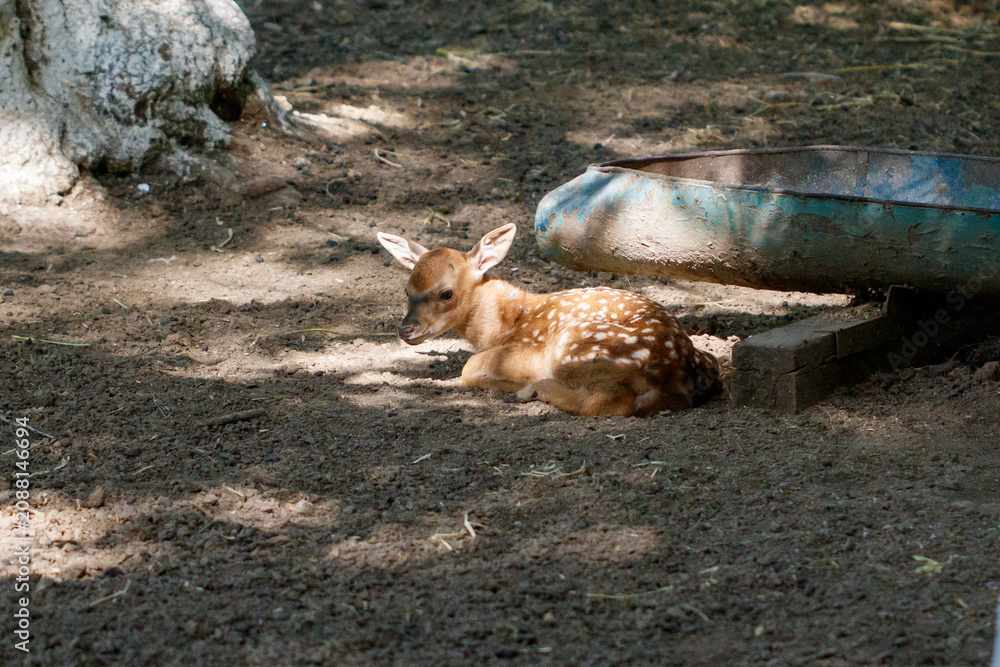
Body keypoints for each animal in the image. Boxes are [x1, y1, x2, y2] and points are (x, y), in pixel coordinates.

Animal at [376, 223, 721, 417]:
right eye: (407, 290)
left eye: (446, 293)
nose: (406, 329)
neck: (504, 324)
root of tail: (673, 375)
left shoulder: (527, 349)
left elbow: (468, 368)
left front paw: (508, 382)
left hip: (577, 350)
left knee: (612, 403)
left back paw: (531, 390)